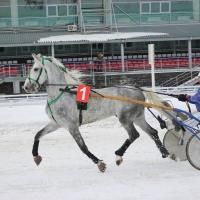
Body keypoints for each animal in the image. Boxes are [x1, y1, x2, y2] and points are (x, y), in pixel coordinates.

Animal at [23, 54, 169, 173]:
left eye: (35, 69)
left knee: (134, 135)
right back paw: (165, 152)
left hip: (125, 118)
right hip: (137, 117)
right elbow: (38, 135)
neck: (61, 94)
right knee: (152, 132)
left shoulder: (72, 126)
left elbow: (83, 147)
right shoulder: (56, 123)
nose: (26, 87)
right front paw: (36, 156)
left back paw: (118, 155)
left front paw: (100, 164)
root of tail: (138, 90)